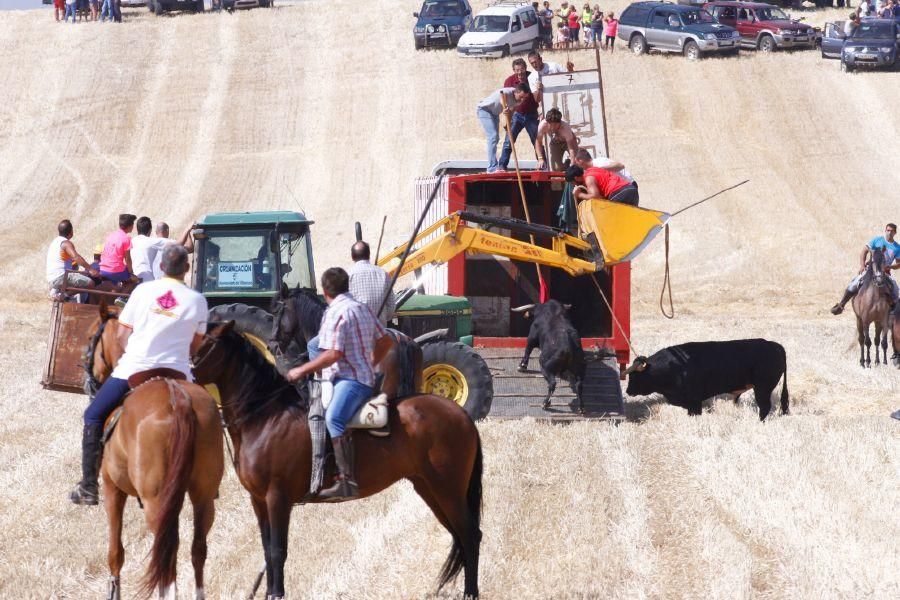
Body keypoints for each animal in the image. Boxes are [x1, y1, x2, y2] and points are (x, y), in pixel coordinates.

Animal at [83, 308, 224, 596]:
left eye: (92, 336)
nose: (88, 382)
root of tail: (178, 398)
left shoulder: (112, 489)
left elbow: (115, 553)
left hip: (154, 500)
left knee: (167, 555)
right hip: (203, 495)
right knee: (197, 549)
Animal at [192, 324, 486, 600]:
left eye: (205, 343)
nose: (186, 373)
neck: (267, 416)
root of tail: (461, 415)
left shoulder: (277, 497)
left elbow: (277, 551)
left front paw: (277, 593)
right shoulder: (259, 500)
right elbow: (266, 550)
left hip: (448, 488)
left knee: (470, 535)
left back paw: (471, 592)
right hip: (429, 488)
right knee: (459, 534)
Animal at [624, 340, 788, 420]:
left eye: (635, 377)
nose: (628, 391)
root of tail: (774, 345)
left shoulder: (694, 401)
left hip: (763, 388)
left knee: (765, 407)